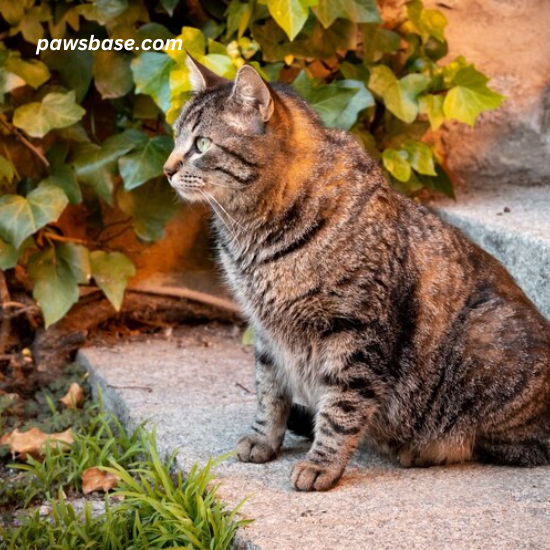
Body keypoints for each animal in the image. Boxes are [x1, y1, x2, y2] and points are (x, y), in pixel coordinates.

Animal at [164, 58, 550, 494]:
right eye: (176, 137)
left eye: (201, 144)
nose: (166, 169)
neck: (254, 234)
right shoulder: (265, 329)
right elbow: (269, 390)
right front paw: (264, 438)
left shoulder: (355, 330)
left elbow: (342, 408)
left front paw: (321, 464)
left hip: (485, 336)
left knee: (514, 444)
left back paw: (421, 448)